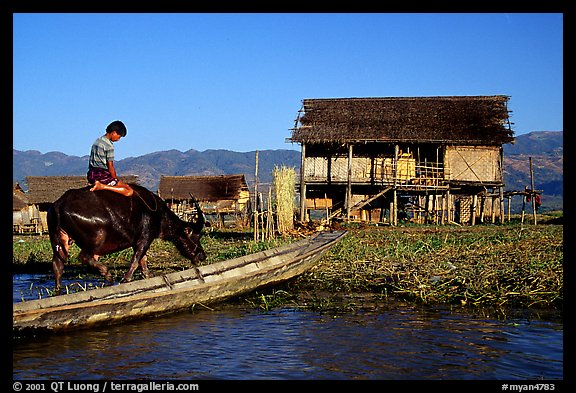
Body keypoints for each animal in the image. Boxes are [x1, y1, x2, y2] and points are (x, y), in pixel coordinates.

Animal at [46, 184, 207, 290]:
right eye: (196, 236)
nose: (202, 255)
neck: (159, 215)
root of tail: (58, 206)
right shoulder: (145, 238)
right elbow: (136, 260)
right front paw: (126, 279)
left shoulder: (139, 241)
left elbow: (143, 261)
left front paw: (147, 275)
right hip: (97, 237)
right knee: (84, 257)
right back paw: (107, 274)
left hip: (58, 240)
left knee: (58, 264)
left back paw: (58, 288)